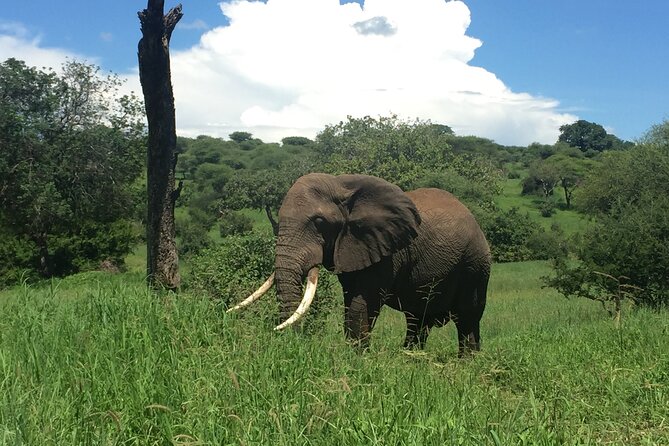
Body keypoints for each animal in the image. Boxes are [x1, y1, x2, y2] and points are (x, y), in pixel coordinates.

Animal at [228, 173, 491, 356]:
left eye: (319, 222)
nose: (289, 341)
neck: (341, 185)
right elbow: (350, 301)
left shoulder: (386, 252)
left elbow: (362, 302)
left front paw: (356, 359)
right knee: (418, 319)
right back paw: (411, 358)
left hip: (475, 265)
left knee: (467, 317)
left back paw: (467, 364)